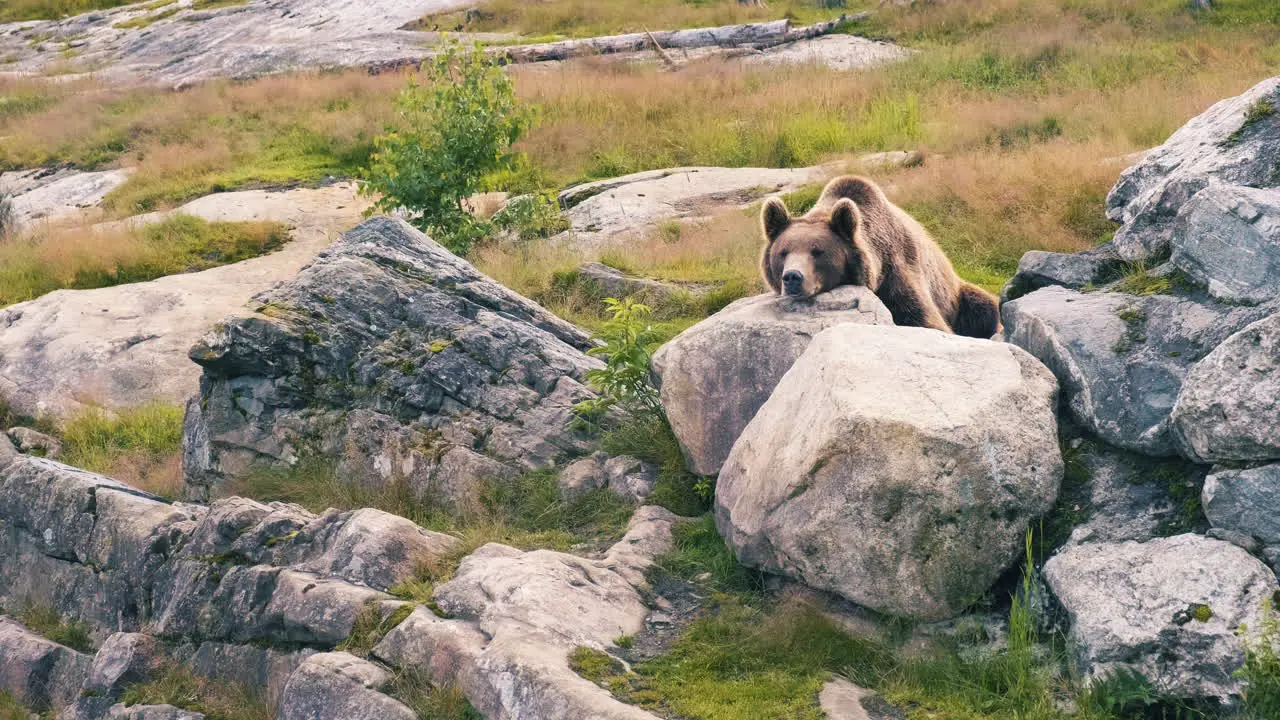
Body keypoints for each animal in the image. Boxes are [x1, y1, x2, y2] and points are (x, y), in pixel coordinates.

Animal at [757, 174, 998, 335]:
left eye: (817, 251)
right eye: (783, 252)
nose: (792, 277)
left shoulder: (898, 272)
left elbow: (925, 319)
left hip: (957, 295)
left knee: (985, 308)